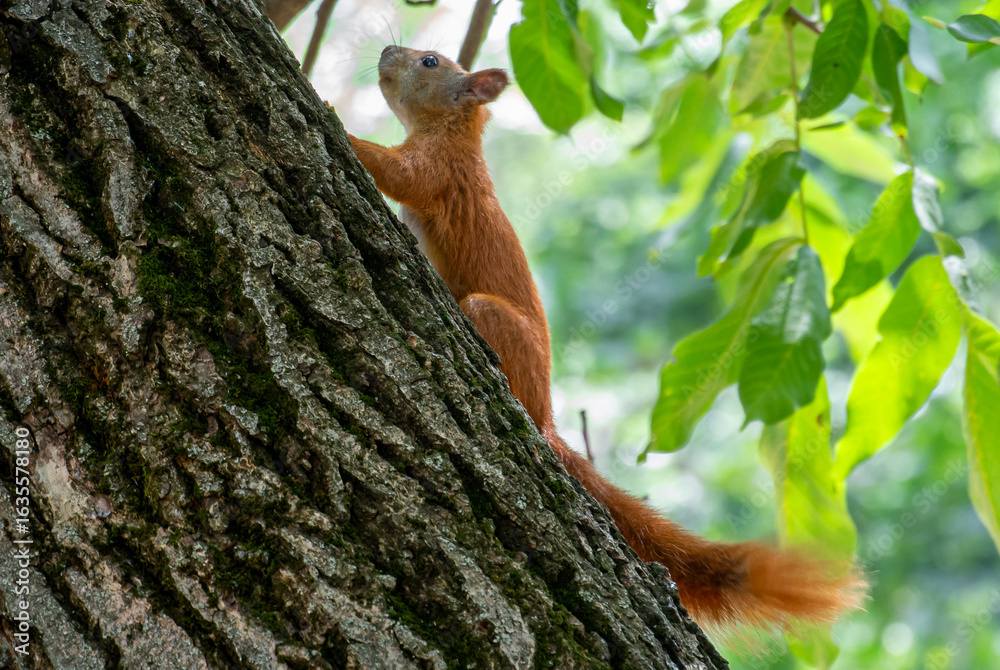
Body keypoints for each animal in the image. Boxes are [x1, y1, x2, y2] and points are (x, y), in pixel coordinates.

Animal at [347, 45, 864, 635]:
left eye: (430, 61)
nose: (387, 51)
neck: (455, 132)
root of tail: (545, 419)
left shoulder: (438, 171)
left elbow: (398, 173)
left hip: (487, 317)